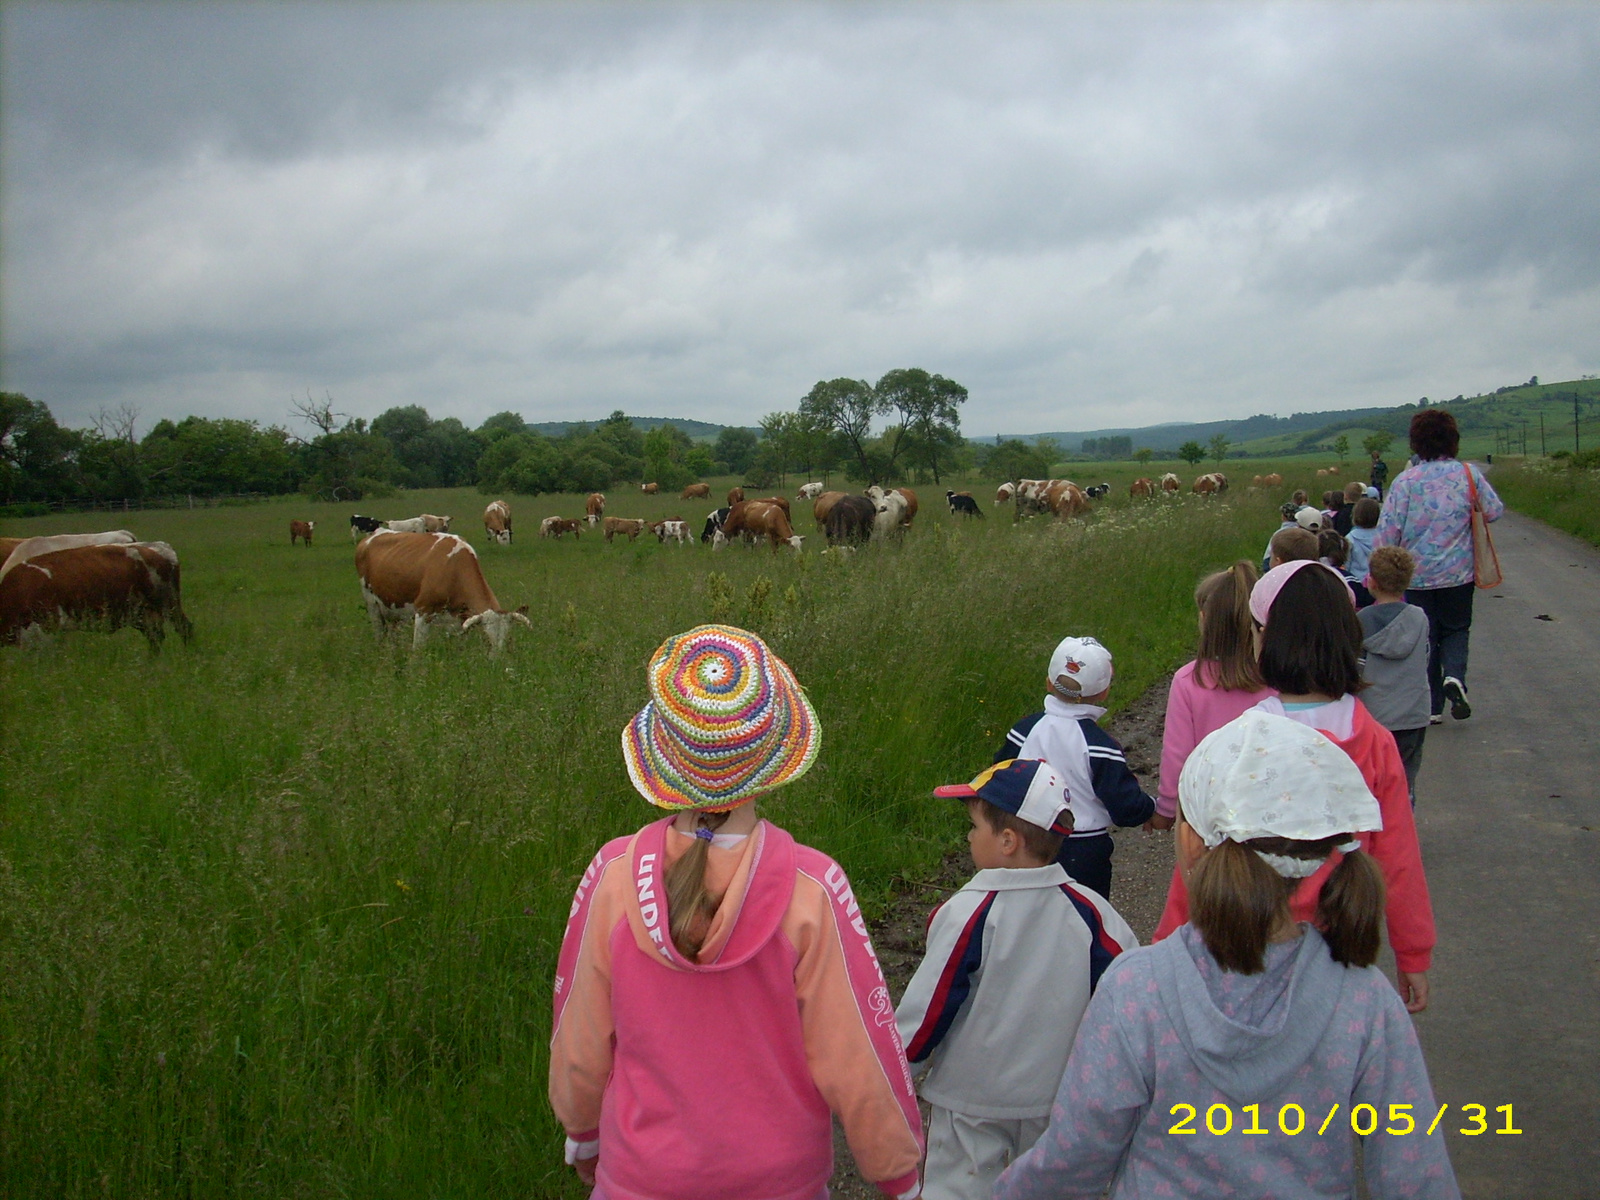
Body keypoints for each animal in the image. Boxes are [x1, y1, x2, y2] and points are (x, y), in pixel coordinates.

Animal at [1, 544, 193, 652]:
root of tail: (160, 549)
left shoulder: (48, 626)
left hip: (169, 605)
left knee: (183, 628)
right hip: (140, 613)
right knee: (156, 637)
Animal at [353, 531, 528, 652]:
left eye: (508, 637)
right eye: (485, 637)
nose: (496, 662)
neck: (453, 569)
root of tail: (370, 537)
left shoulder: (459, 622)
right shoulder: (423, 611)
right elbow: (417, 651)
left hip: (393, 609)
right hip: (372, 605)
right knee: (379, 636)